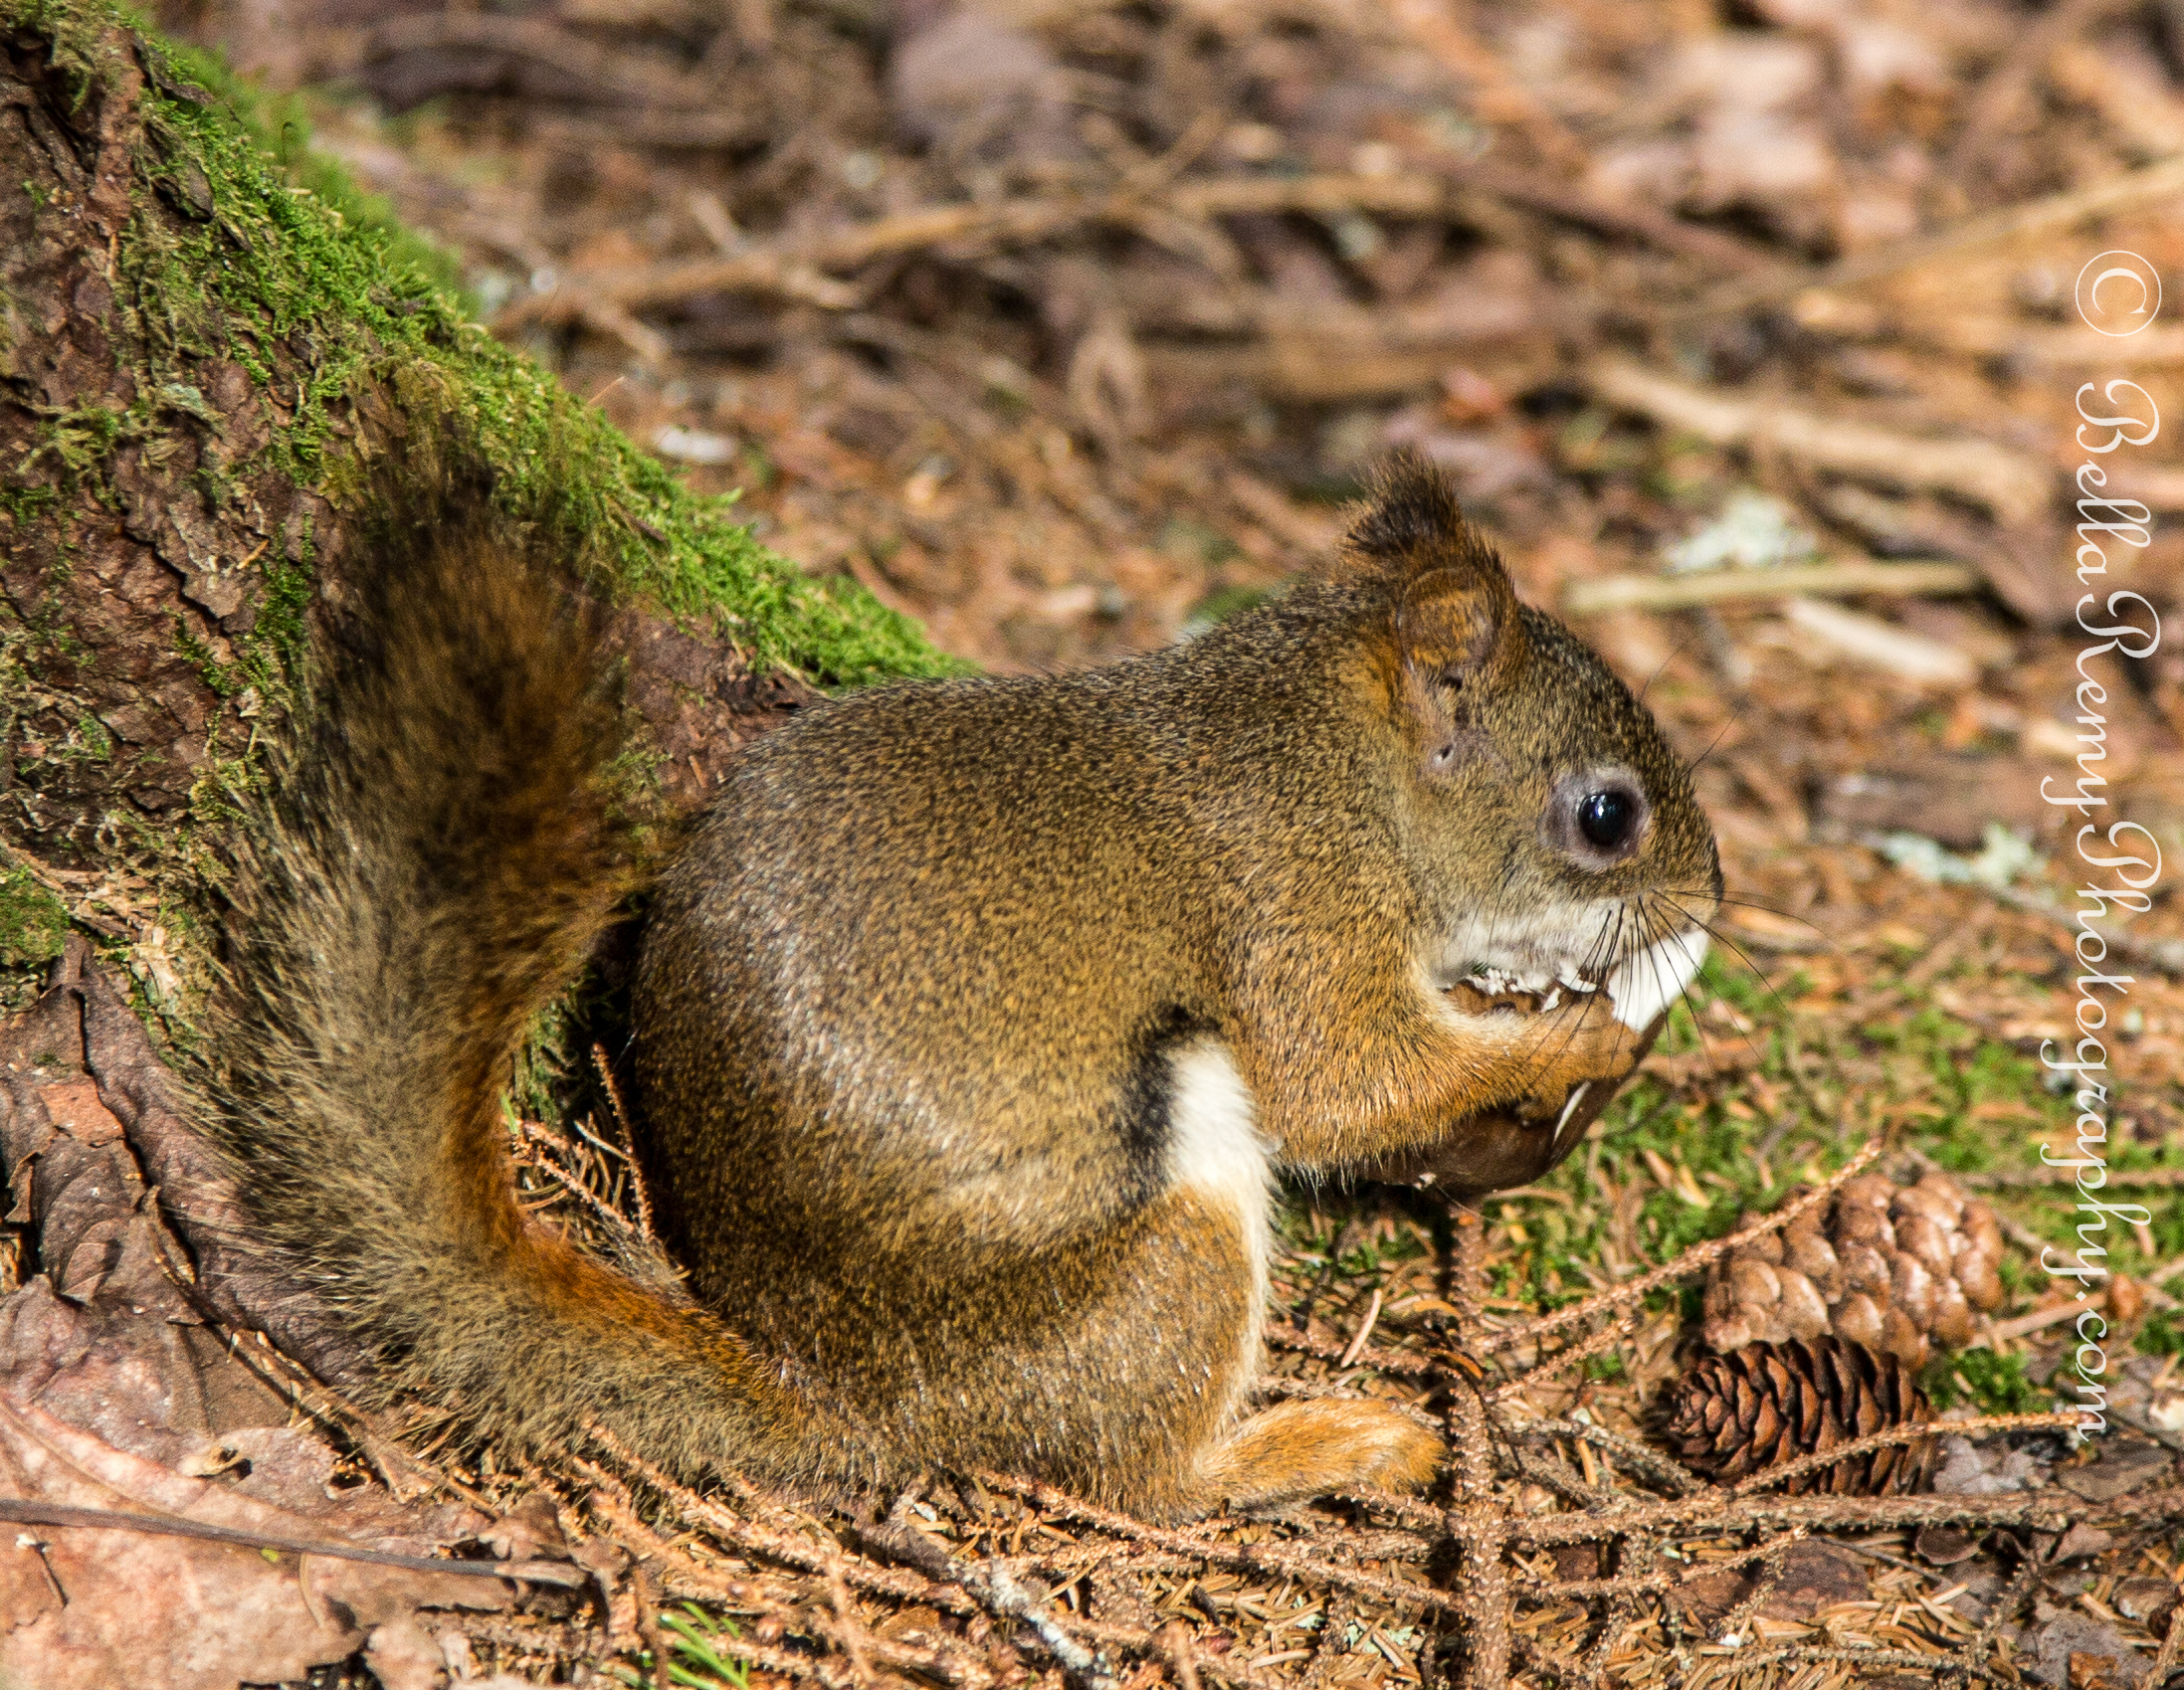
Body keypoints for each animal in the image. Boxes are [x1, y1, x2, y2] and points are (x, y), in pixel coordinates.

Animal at [198, 453, 1719, 1520]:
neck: (1336, 762)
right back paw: (1330, 1439)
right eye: (1606, 816)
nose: (1706, 903)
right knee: (1140, 1475)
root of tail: (853, 1398)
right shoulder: (1290, 911)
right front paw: (1575, 1036)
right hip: (1161, 1247)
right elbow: (1346, 1080)